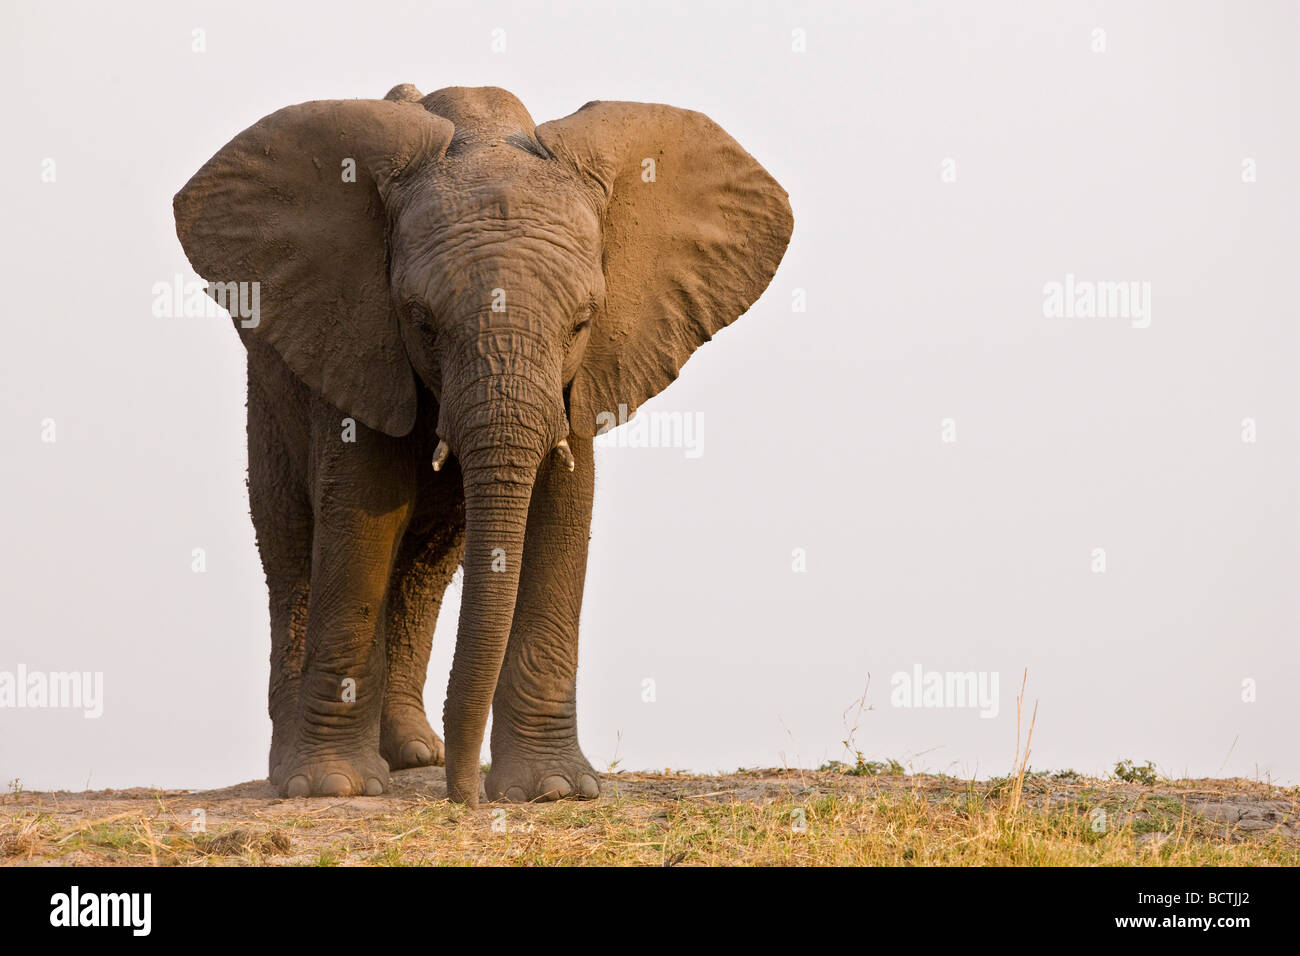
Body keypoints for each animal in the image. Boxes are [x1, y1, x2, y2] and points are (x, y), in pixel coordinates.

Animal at [172, 85, 790, 806]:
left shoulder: (582, 376)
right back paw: (301, 770)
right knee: (293, 547)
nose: (468, 798)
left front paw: (553, 790)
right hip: (272, 393)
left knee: (423, 565)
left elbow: (561, 512)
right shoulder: (356, 339)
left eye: (582, 322)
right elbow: (360, 517)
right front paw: (334, 787)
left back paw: (413, 755)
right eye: (421, 322)